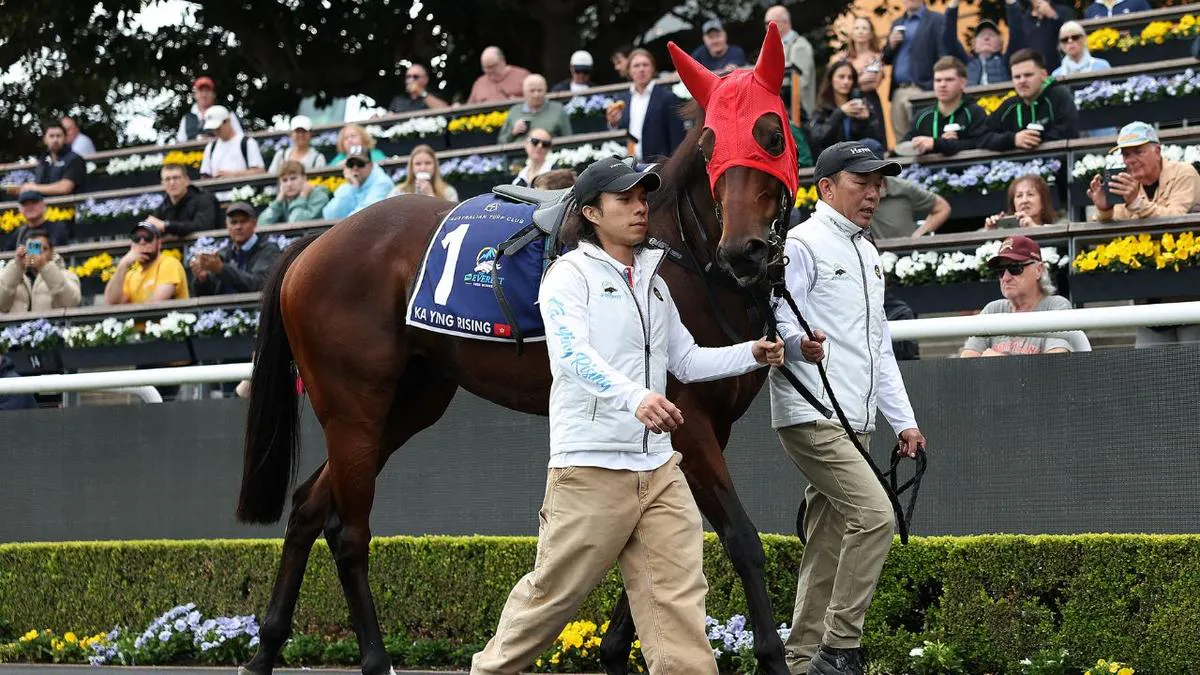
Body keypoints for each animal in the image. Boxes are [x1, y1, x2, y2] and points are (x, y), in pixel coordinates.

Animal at [235, 26, 800, 675]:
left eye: (771, 134)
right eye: (709, 147)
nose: (744, 251)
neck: (678, 251)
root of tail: (316, 244)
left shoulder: (706, 425)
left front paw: (615, 648)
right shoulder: (691, 420)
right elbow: (738, 537)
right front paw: (773, 657)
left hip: (409, 403)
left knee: (307, 506)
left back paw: (267, 646)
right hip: (354, 407)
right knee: (347, 529)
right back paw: (373, 658)